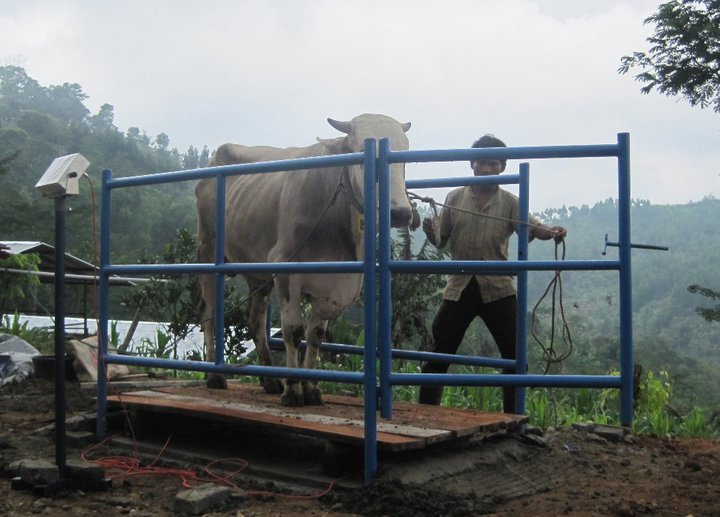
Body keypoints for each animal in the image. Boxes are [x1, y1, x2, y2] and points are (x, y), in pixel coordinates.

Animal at [195, 114, 410, 408]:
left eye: (405, 154)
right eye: (360, 150)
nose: (400, 212)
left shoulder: (331, 284)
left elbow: (315, 336)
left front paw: (311, 387)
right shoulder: (285, 269)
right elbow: (293, 331)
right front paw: (293, 389)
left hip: (258, 273)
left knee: (255, 319)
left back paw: (269, 379)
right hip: (208, 253)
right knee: (209, 314)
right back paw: (215, 375)